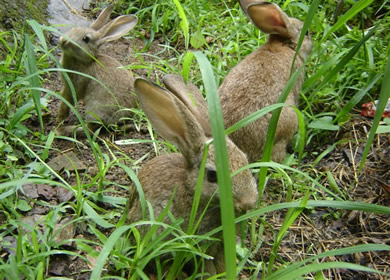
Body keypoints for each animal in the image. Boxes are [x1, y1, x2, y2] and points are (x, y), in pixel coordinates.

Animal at [56, 6, 139, 137]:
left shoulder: (75, 85)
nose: (64, 40)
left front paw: (60, 118)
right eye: (74, 29)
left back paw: (63, 131)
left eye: (86, 39)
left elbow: (67, 101)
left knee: (90, 129)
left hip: (95, 108)